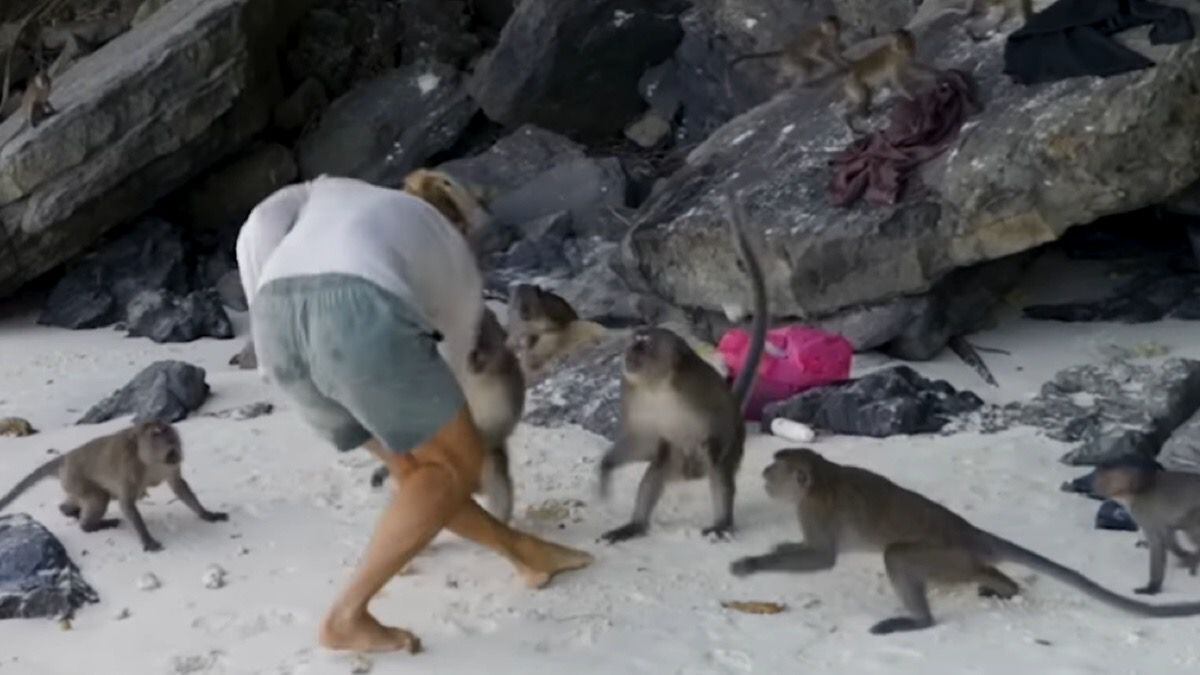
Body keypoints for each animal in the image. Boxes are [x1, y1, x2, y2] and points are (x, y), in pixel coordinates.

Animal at [0, 421, 227, 552]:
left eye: (176, 446)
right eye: (169, 449)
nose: (177, 456)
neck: (150, 461)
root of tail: (65, 458)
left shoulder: (169, 469)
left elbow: (178, 485)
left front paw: (207, 514)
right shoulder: (129, 468)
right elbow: (127, 503)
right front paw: (147, 540)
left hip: (71, 483)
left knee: (81, 500)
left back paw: (68, 510)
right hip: (76, 478)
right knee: (99, 499)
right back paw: (90, 525)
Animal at [597, 192, 767, 544]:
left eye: (643, 346)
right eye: (632, 343)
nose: (627, 356)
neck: (656, 385)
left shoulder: (697, 387)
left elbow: (718, 429)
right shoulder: (631, 392)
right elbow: (644, 440)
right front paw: (606, 466)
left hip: (728, 446)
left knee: (719, 471)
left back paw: (722, 521)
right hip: (675, 461)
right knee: (657, 468)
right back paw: (635, 525)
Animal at [1092, 463, 1200, 596]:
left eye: (1104, 479)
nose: (1094, 487)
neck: (1136, 490)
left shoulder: (1145, 514)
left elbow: (1157, 543)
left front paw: (1153, 587)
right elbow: (1169, 537)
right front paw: (1184, 555)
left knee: (1191, 529)